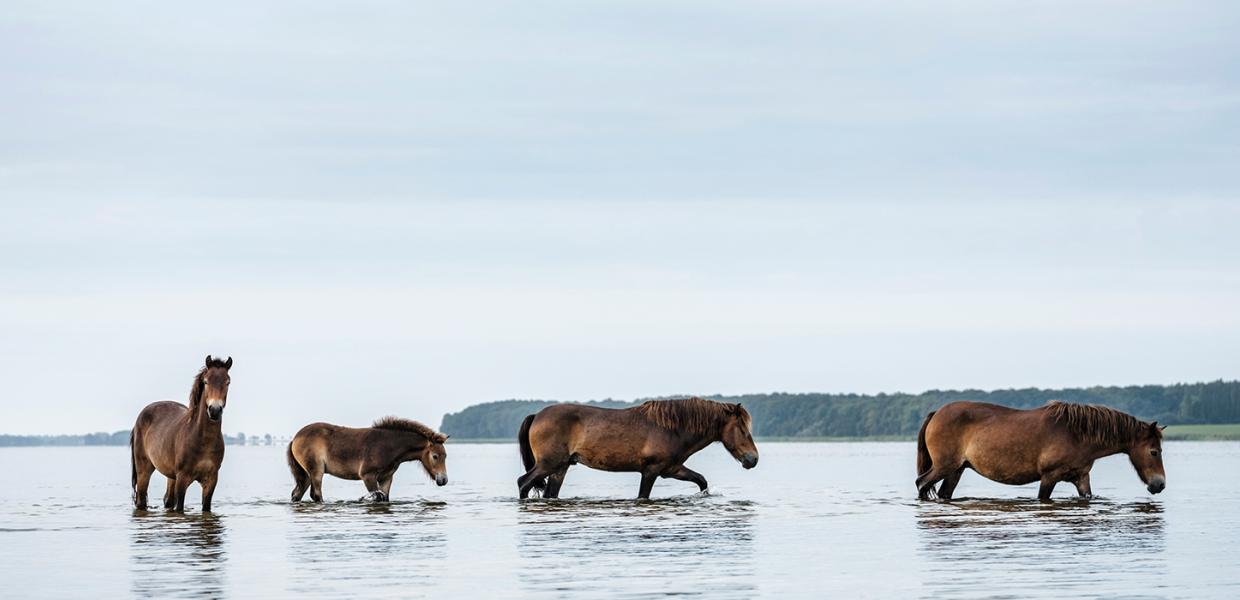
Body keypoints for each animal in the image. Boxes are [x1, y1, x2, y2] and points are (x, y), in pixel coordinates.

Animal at [132, 354, 233, 513]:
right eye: (206, 381)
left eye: (228, 382)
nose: (215, 410)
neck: (203, 440)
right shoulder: (182, 478)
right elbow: (179, 507)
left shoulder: (211, 480)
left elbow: (206, 507)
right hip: (144, 470)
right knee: (141, 500)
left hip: (170, 476)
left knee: (168, 500)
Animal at [286, 416, 451, 500]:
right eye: (435, 456)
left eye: (445, 456)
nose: (443, 480)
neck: (389, 445)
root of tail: (294, 439)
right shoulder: (368, 476)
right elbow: (377, 498)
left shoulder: (386, 478)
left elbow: (385, 498)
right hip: (316, 471)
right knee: (316, 494)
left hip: (306, 474)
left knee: (296, 494)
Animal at [513, 396, 753, 498]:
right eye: (742, 429)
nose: (753, 458)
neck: (673, 428)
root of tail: (536, 416)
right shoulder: (651, 471)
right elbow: (642, 496)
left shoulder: (671, 469)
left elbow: (701, 481)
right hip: (548, 464)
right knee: (523, 483)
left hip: (560, 468)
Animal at [917, 401, 1165, 503]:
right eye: (1154, 452)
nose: (1159, 485)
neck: (1077, 434)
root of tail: (936, 413)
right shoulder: (1049, 476)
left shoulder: (1081, 477)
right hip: (944, 466)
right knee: (922, 484)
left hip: (956, 470)